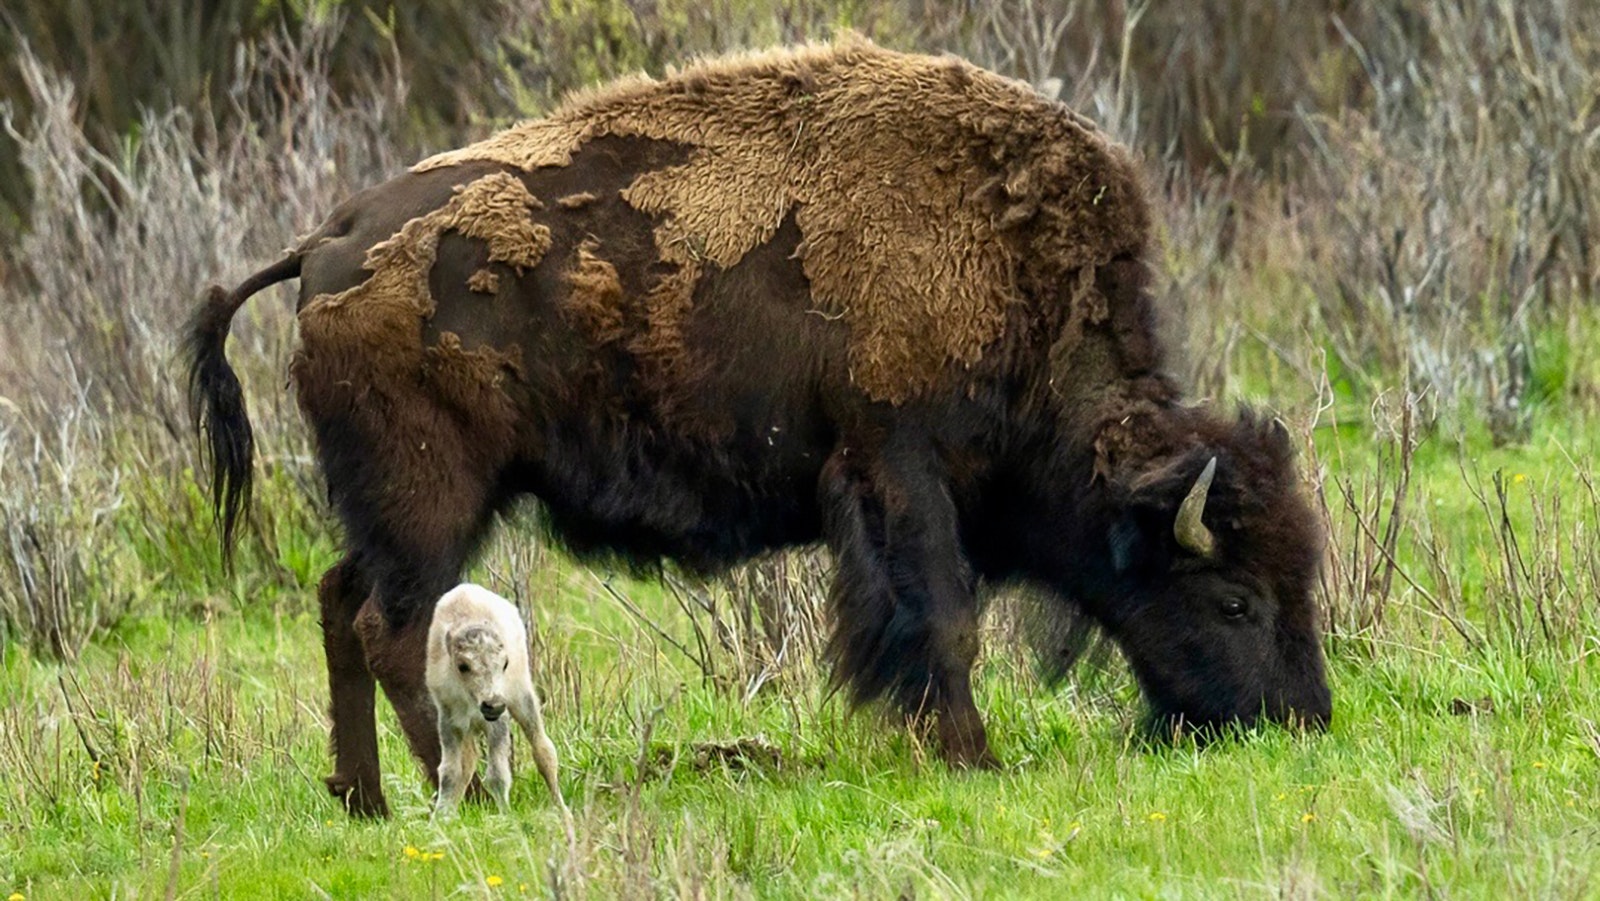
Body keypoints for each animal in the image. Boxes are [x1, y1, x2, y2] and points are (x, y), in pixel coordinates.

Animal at [428, 585, 572, 832]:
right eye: (463, 665)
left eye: (505, 663)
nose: (492, 705)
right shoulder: (449, 721)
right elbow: (450, 772)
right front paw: (441, 818)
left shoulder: (499, 721)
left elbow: (497, 774)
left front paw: (507, 818)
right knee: (469, 761)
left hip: (523, 699)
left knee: (544, 750)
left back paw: (564, 813)